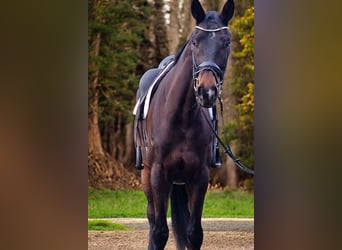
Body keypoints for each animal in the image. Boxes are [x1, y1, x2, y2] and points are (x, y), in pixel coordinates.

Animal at [135, 0, 234, 249]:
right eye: (194, 41)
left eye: (227, 42)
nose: (207, 91)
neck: (181, 116)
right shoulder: (158, 174)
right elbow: (159, 231)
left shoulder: (199, 177)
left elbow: (194, 233)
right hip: (147, 176)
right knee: (152, 218)